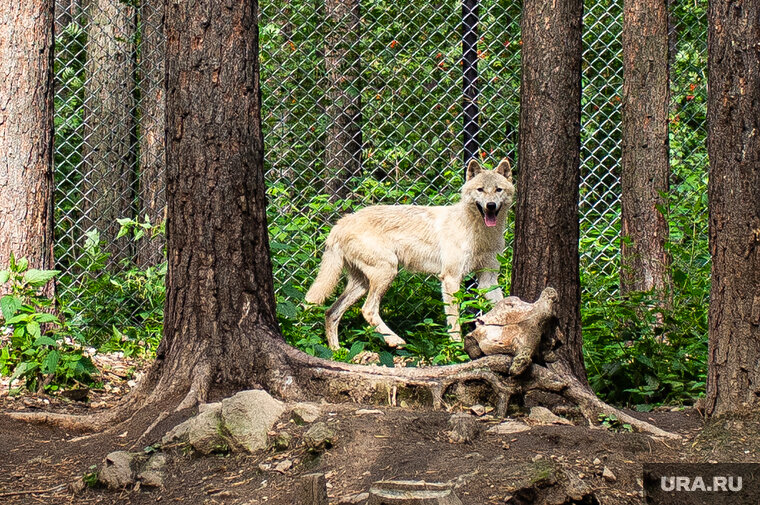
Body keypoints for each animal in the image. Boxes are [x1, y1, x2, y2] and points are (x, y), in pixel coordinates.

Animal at [306, 159, 512, 348]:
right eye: (480, 190)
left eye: (498, 190)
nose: (490, 205)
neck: (481, 234)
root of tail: (340, 223)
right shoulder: (451, 279)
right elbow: (454, 321)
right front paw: (456, 349)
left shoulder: (488, 279)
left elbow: (502, 304)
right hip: (387, 272)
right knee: (367, 310)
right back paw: (395, 341)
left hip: (363, 283)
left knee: (331, 313)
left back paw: (337, 352)